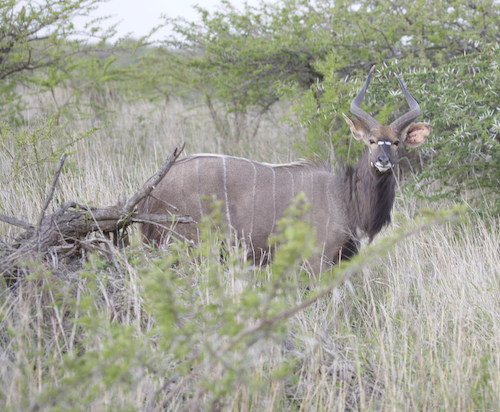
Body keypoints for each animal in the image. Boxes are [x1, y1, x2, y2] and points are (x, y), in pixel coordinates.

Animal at [138, 67, 430, 274]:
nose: (383, 160)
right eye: (370, 140)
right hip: (189, 247)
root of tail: (151, 189)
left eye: (396, 142)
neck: (345, 196)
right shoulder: (317, 260)